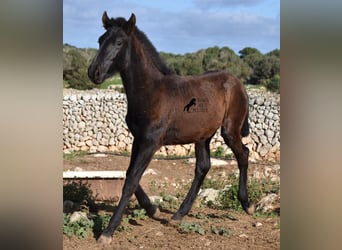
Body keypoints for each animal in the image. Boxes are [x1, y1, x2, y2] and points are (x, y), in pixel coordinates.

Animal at [88, 11, 254, 244]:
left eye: (119, 42)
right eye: (100, 40)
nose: (94, 72)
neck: (151, 91)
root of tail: (237, 82)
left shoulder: (151, 142)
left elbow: (131, 180)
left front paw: (107, 232)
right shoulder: (138, 139)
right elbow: (129, 173)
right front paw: (153, 209)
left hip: (229, 130)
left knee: (243, 154)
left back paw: (247, 204)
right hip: (203, 135)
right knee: (203, 166)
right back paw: (178, 214)